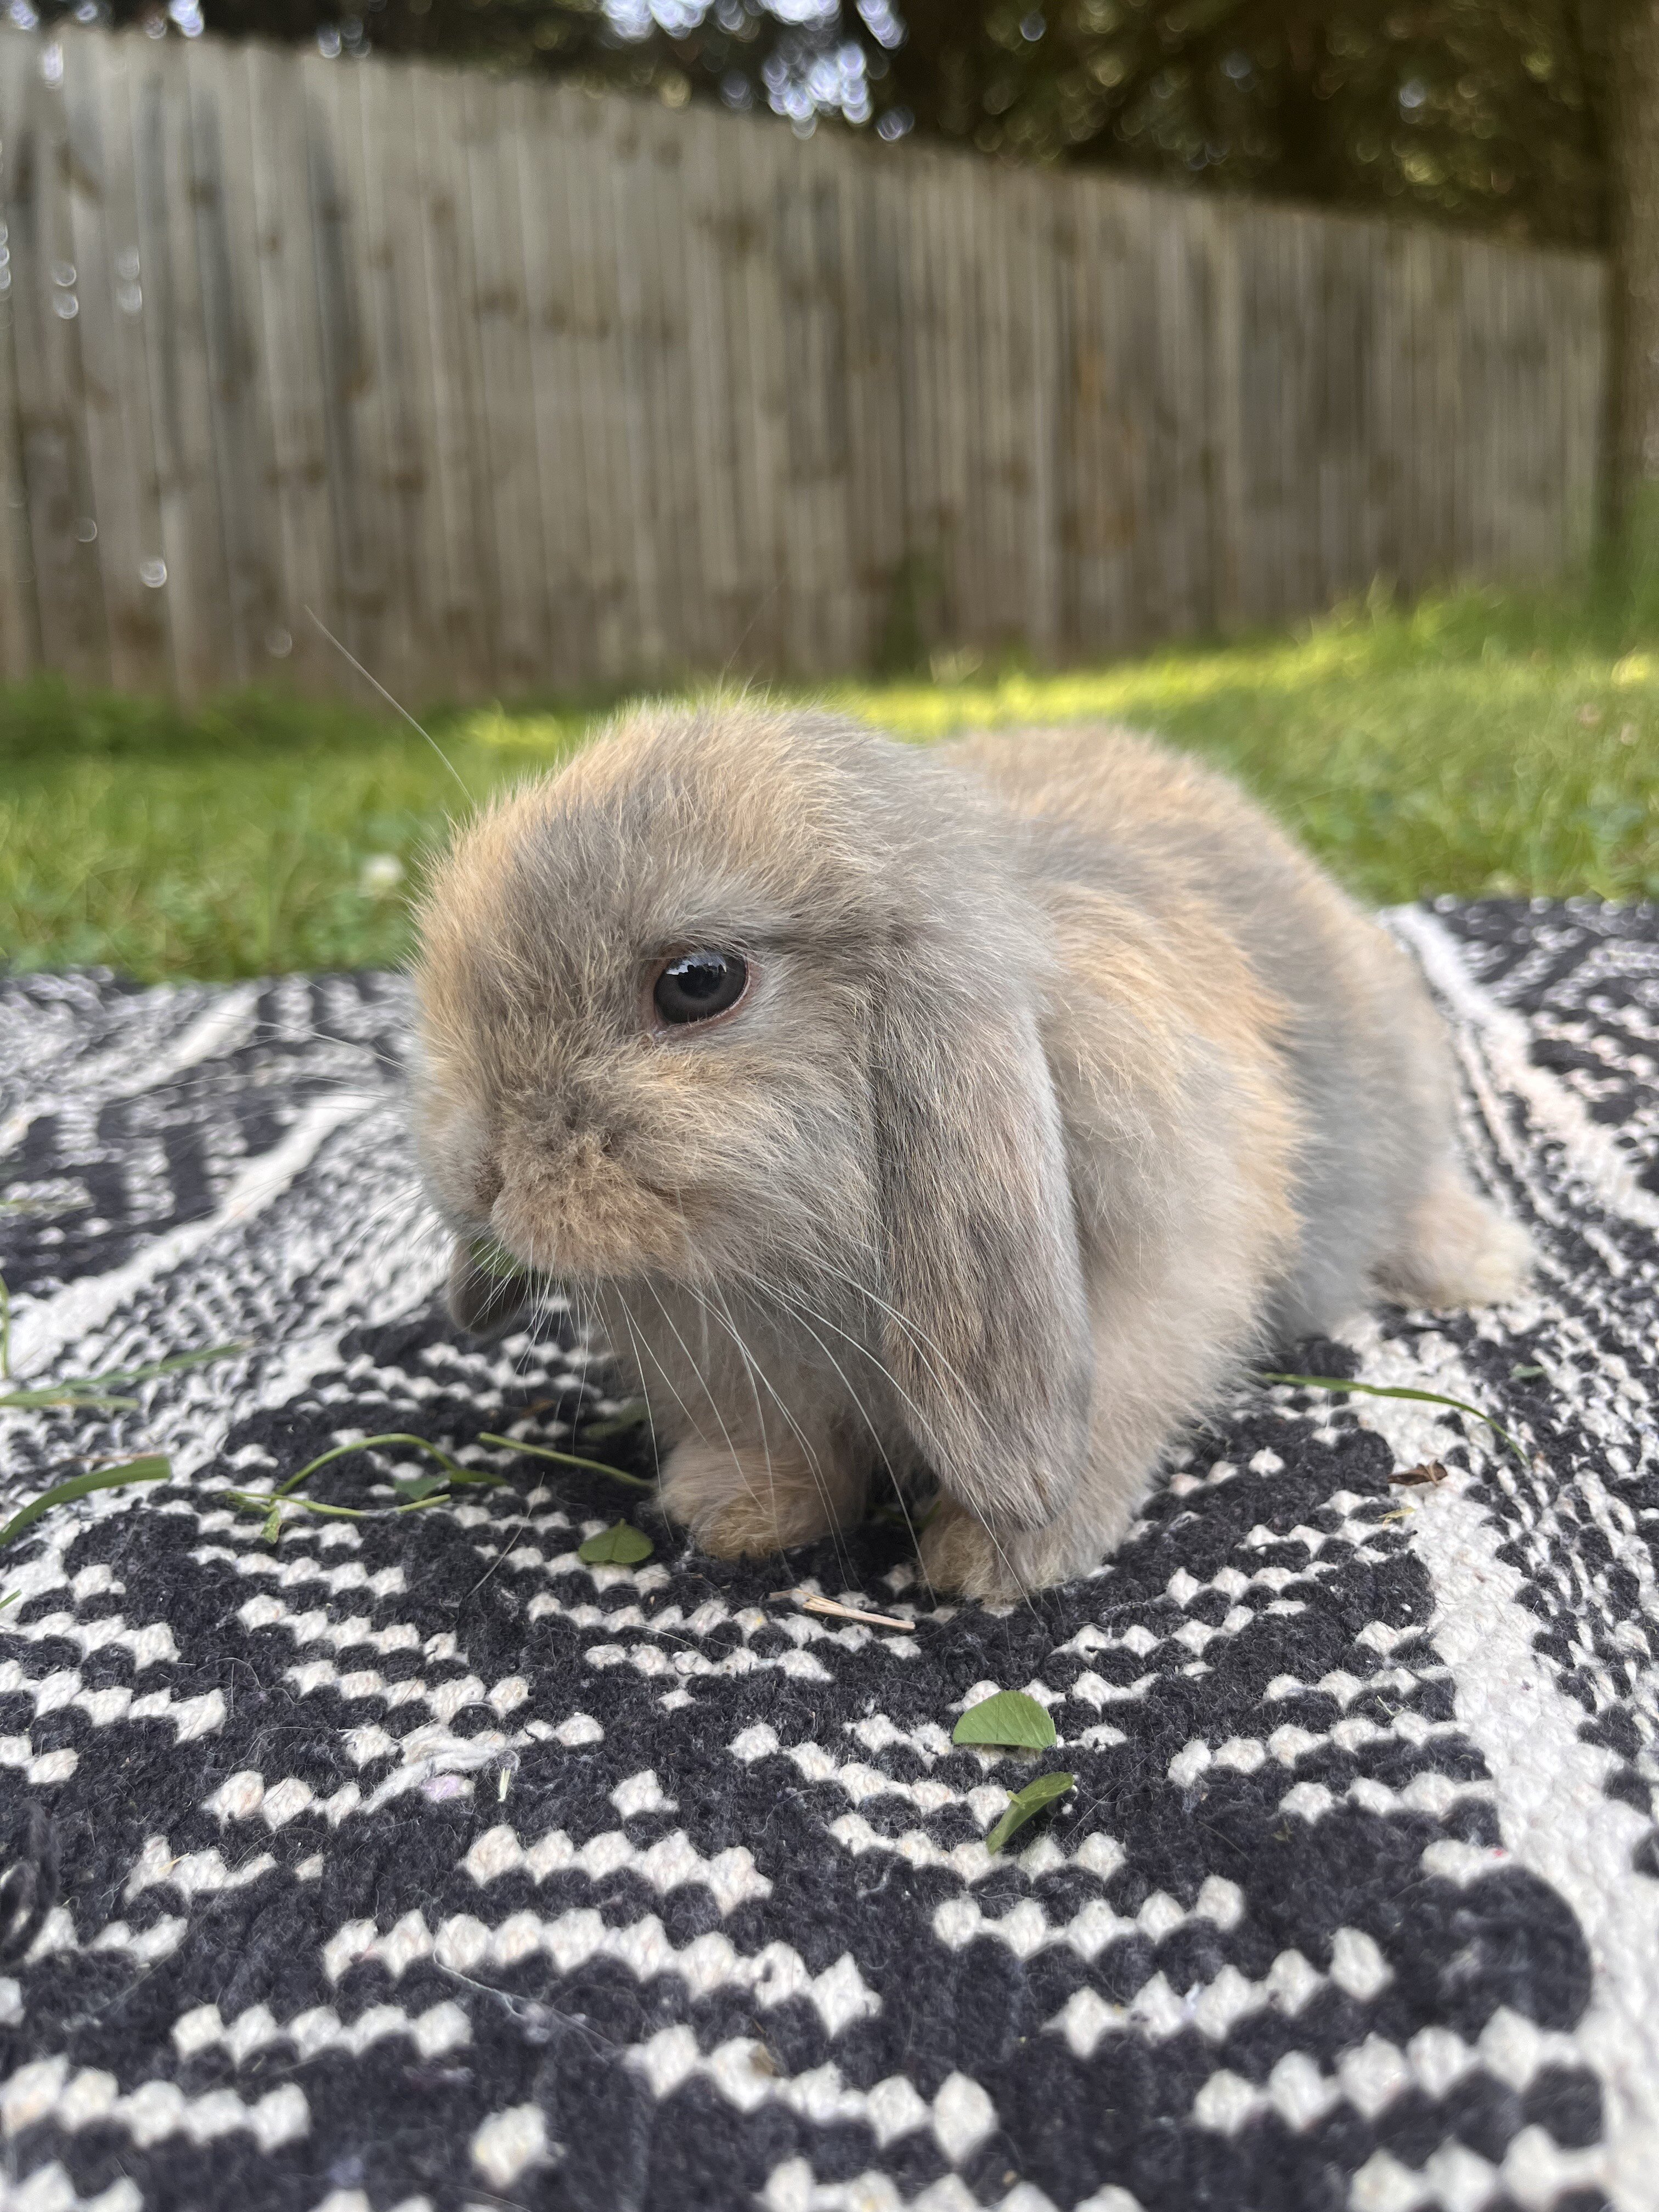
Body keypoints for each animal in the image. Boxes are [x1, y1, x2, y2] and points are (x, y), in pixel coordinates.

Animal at [411, 699, 1529, 1601]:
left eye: (697, 982)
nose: (485, 1174)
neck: (786, 1265)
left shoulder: (1158, 1287)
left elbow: (1116, 1412)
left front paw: (995, 1560)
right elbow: (775, 1440)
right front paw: (727, 1509)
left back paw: (1477, 1266)